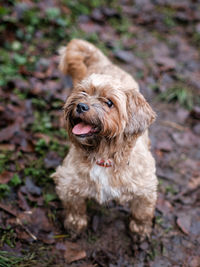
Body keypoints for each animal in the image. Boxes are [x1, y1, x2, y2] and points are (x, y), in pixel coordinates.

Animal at [52, 38, 159, 238]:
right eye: (83, 93)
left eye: (109, 103)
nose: (81, 106)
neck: (103, 157)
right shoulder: (68, 181)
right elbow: (74, 207)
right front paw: (75, 224)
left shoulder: (146, 188)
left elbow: (142, 211)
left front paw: (140, 229)